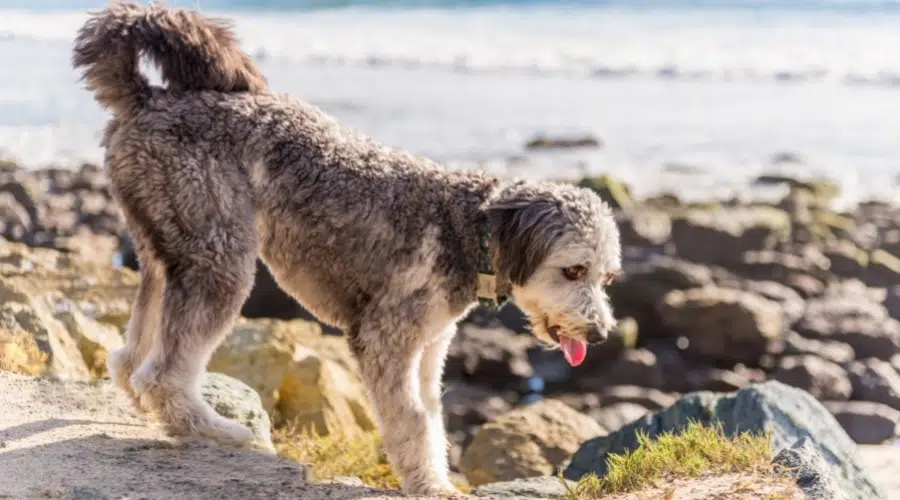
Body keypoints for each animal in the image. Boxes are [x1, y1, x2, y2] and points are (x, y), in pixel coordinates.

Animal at [74, 2, 624, 496]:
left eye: (608, 278)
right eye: (573, 271)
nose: (599, 334)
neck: (466, 229)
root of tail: (147, 98)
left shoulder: (428, 349)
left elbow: (432, 417)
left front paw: (435, 476)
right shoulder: (387, 340)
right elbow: (412, 422)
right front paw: (429, 485)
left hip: (166, 249)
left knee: (130, 356)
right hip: (219, 260)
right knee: (164, 374)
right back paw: (216, 431)